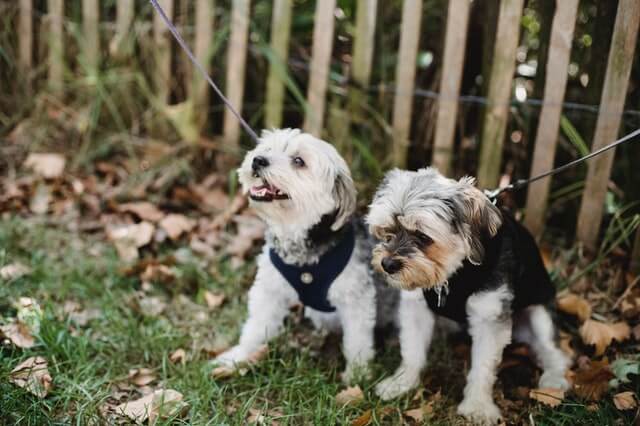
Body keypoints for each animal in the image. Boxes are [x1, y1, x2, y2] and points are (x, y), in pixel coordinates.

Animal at [215, 128, 384, 382]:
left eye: (298, 161)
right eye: (267, 148)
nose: (258, 160)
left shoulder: (356, 300)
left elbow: (357, 342)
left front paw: (357, 376)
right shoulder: (269, 292)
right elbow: (255, 327)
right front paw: (238, 357)